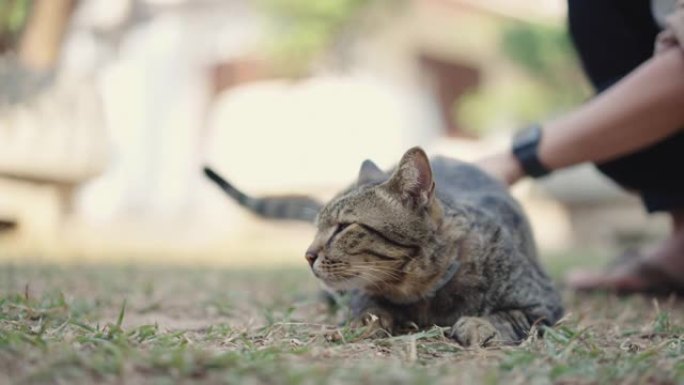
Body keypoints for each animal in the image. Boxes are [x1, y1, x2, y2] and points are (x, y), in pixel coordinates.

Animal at [206, 147, 564, 344]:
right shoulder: (360, 293)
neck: (423, 294)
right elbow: (367, 308)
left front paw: (479, 323)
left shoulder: (544, 300)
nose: (307, 255)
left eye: (344, 227)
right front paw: (362, 323)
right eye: (317, 228)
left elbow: (511, 315)